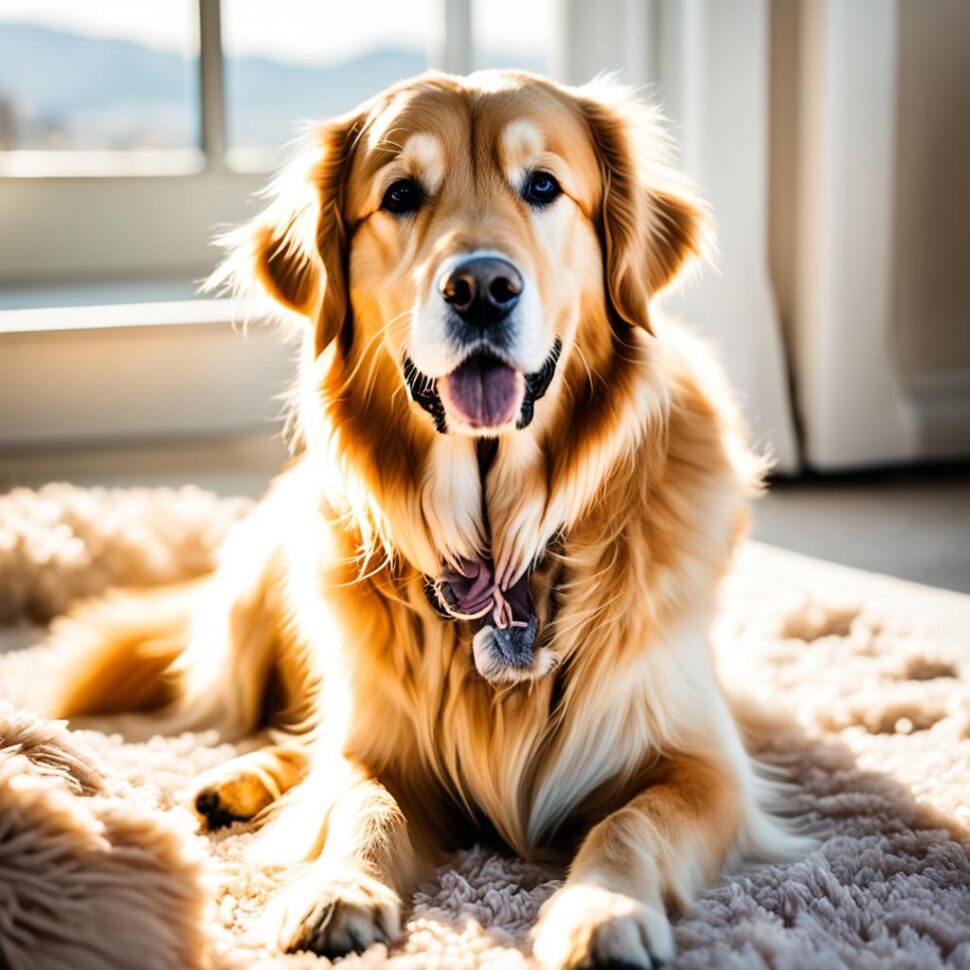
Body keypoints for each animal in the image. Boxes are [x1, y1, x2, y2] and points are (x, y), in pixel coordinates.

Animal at [45, 72, 804, 964]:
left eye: (543, 186)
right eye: (401, 195)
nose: (481, 288)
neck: (502, 545)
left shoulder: (702, 763)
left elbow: (630, 824)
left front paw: (601, 911)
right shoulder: (379, 745)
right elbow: (358, 803)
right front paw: (339, 887)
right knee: (304, 741)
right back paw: (237, 783)